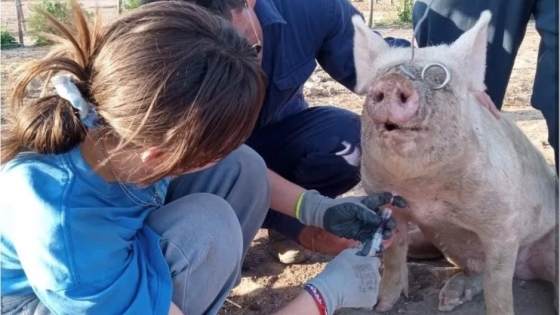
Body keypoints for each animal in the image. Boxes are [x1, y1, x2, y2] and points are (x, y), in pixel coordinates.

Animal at [352, 9, 556, 315]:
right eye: (381, 75)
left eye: (438, 77)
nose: (391, 83)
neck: (424, 193)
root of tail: (525, 269)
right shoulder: (387, 203)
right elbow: (393, 257)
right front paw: (381, 305)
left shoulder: (505, 223)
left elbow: (498, 286)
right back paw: (448, 300)